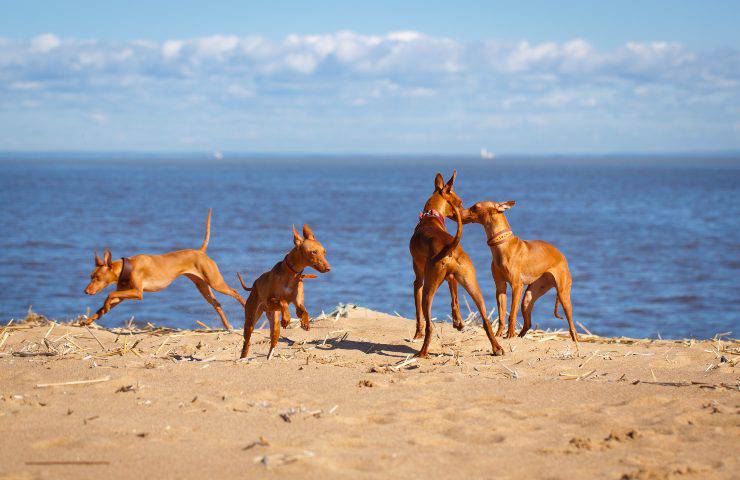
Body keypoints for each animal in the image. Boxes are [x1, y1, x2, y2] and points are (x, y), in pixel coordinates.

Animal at [83, 210, 246, 330]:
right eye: (91, 276)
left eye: (97, 277)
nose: (86, 291)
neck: (127, 267)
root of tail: (200, 252)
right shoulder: (123, 295)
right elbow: (104, 306)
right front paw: (89, 320)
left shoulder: (137, 293)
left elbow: (109, 294)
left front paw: (104, 306)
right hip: (203, 287)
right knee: (217, 305)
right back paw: (228, 326)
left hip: (215, 283)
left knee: (236, 292)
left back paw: (245, 307)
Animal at [237, 225, 330, 360]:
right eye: (313, 252)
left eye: (324, 252)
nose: (328, 268)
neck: (292, 274)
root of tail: (254, 284)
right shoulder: (270, 301)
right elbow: (283, 301)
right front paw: (286, 319)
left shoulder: (298, 304)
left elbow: (304, 310)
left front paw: (305, 322)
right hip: (251, 319)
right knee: (247, 341)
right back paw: (243, 357)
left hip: (274, 322)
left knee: (273, 342)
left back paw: (269, 358)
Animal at [408, 172, 506, 356]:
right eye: (459, 203)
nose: (466, 216)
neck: (430, 218)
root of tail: (450, 246)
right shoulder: (452, 278)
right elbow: (455, 300)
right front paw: (458, 323)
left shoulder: (418, 281)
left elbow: (418, 315)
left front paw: (417, 334)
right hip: (472, 284)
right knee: (486, 320)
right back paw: (496, 348)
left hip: (428, 289)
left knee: (429, 325)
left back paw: (422, 352)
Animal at [462, 202, 580, 342]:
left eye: (475, 207)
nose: (459, 211)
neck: (502, 245)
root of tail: (561, 255)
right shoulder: (500, 287)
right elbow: (502, 315)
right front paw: (498, 335)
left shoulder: (517, 286)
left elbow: (512, 314)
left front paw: (510, 335)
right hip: (528, 298)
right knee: (528, 323)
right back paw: (519, 337)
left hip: (563, 295)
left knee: (572, 325)